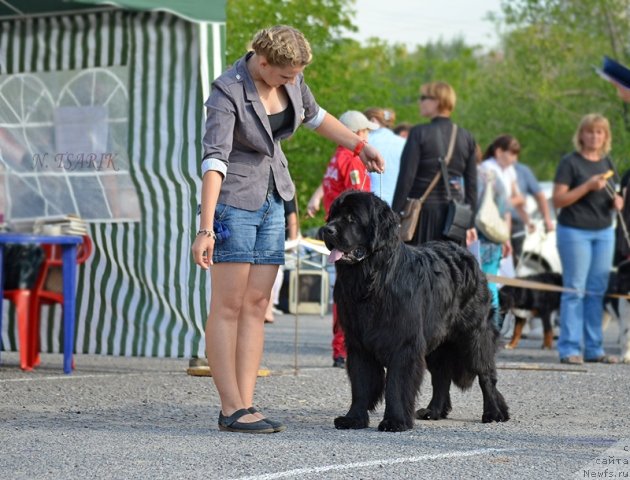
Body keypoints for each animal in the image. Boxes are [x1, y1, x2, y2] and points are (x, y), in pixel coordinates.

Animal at [324, 190, 512, 432]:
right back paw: (434, 411)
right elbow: (361, 383)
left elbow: (396, 384)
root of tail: (469, 257)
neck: (372, 279)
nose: (326, 229)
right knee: (441, 376)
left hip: (474, 336)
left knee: (486, 374)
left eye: (352, 218)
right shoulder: (358, 344)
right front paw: (353, 418)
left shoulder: (404, 343)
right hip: (438, 341)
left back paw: (494, 412)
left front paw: (394, 421)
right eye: (333, 215)